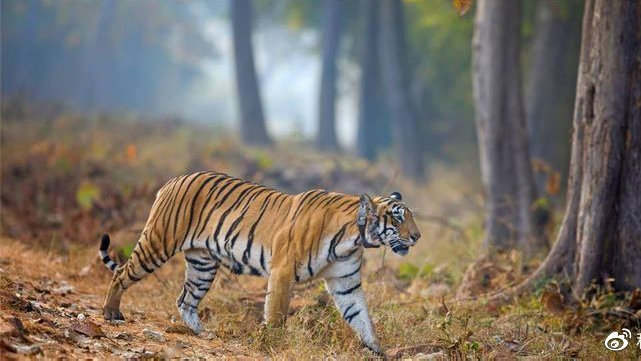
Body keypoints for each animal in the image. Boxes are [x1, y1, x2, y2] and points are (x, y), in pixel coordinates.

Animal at [97, 170, 420, 352]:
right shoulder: (283, 269)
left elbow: (361, 315)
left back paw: (203, 333)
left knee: (185, 300)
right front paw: (272, 342)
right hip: (159, 242)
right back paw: (111, 313)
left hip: (203, 264)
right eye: (397, 218)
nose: (416, 236)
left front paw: (376, 348)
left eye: (410, 216)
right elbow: (276, 311)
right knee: (122, 272)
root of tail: (172, 180)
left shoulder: (345, 282)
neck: (353, 238)